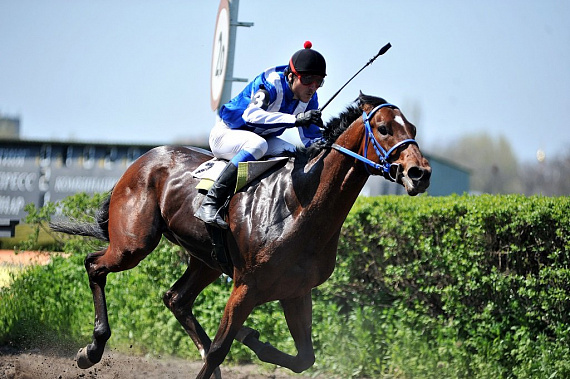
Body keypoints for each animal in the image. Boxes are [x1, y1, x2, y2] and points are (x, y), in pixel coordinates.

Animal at [50, 93, 430, 379]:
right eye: (383, 128)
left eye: (412, 128)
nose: (420, 173)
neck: (298, 204)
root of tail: (144, 158)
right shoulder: (247, 286)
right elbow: (221, 349)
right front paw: (235, 342)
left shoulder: (296, 291)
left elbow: (304, 358)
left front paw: (251, 338)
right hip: (134, 244)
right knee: (95, 265)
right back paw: (92, 349)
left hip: (205, 260)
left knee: (176, 298)